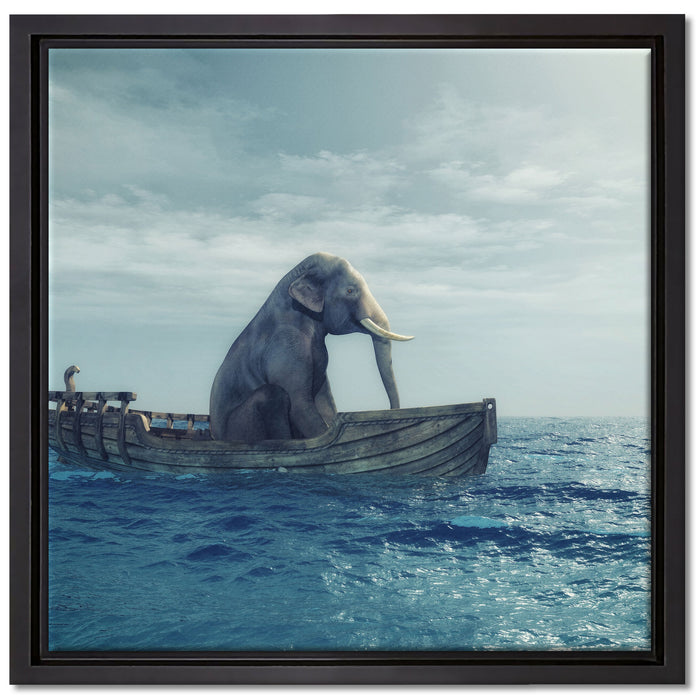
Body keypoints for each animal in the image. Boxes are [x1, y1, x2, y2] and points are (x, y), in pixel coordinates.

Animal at [209, 252, 413, 442]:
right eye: (350, 290)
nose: (392, 413)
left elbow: (325, 401)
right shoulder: (285, 347)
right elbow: (300, 404)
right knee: (273, 393)